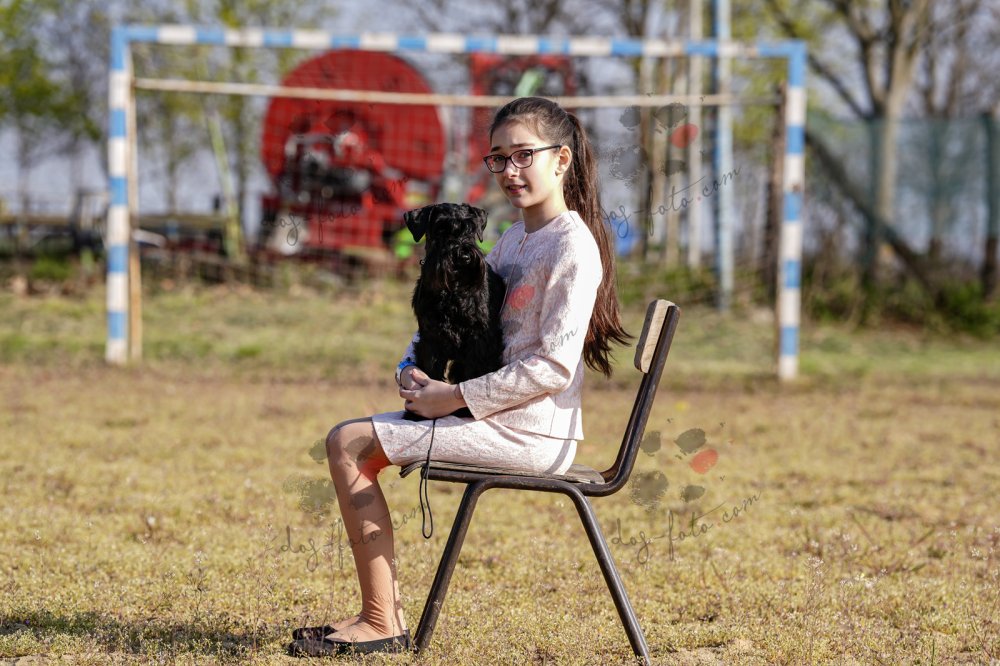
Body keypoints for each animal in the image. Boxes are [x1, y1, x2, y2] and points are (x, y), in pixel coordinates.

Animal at [402, 203, 506, 420]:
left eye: (471, 229)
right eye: (441, 229)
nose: (464, 255)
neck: (453, 291)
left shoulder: (480, 339)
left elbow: (475, 371)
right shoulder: (431, 339)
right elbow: (430, 370)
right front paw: (420, 413)